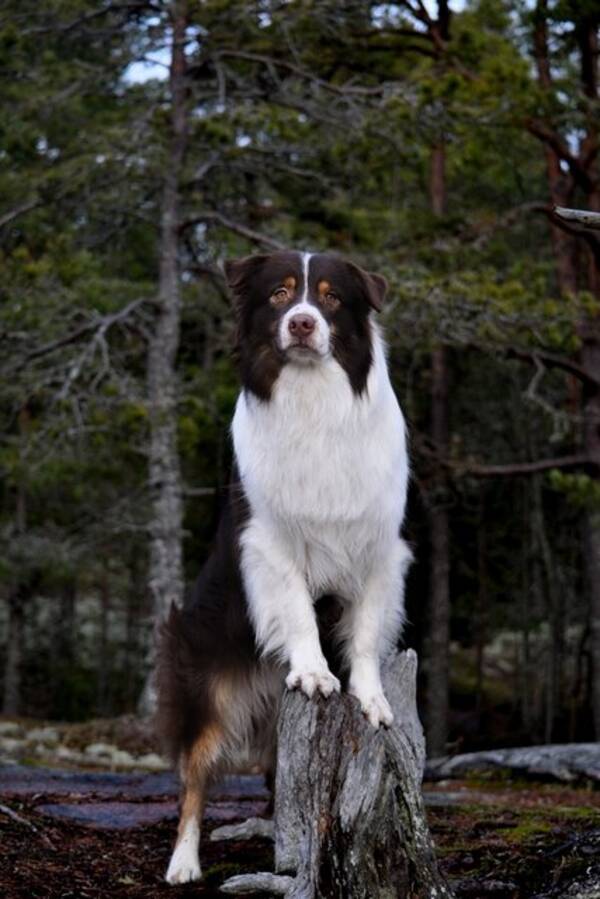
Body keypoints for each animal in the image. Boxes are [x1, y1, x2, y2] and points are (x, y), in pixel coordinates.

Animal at [158, 250, 412, 884]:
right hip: (210, 686)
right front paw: (316, 672)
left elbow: (365, 633)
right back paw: (184, 862)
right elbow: (297, 612)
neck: (311, 396)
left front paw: (369, 696)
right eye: (279, 294)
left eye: (331, 297)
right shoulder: (270, 544)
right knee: (195, 775)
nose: (301, 323)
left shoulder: (380, 547)